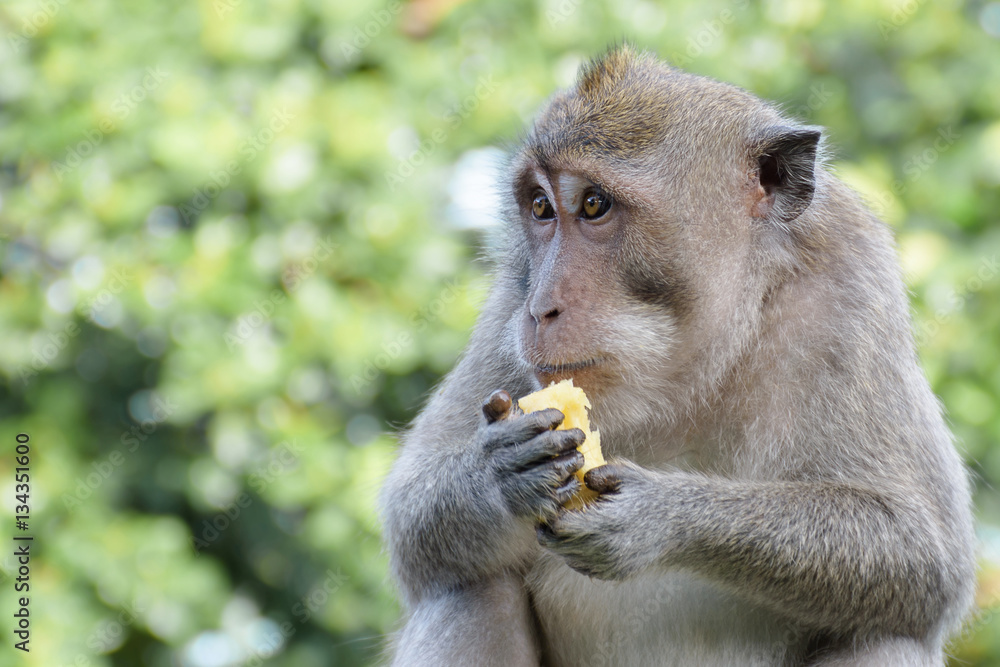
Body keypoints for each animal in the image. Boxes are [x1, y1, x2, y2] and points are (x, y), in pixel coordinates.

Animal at [379, 46, 976, 666]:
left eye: (593, 204)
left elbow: (926, 557)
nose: (540, 308)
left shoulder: (855, 282)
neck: (696, 363)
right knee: (473, 589)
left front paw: (657, 515)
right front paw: (501, 474)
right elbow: (410, 523)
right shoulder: (508, 298)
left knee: (883, 636)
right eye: (541, 207)